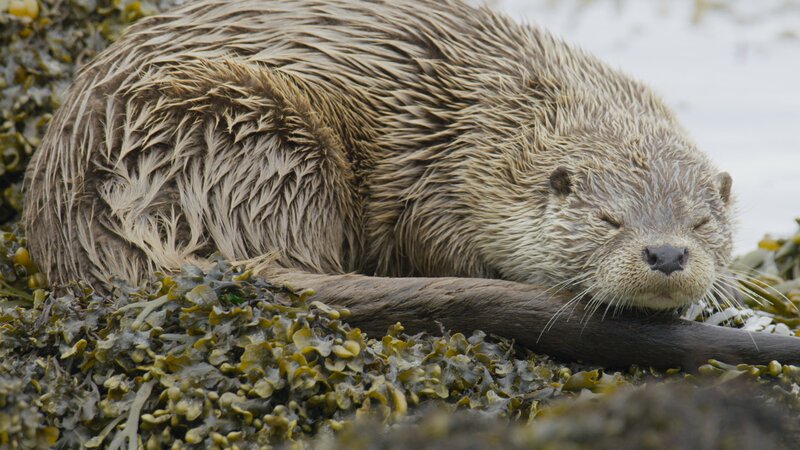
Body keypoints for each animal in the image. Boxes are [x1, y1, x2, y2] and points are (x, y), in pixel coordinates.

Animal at [22, 0, 800, 368]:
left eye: (701, 222)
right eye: (609, 220)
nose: (666, 254)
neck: (485, 130)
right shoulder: (432, 190)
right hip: (251, 131)